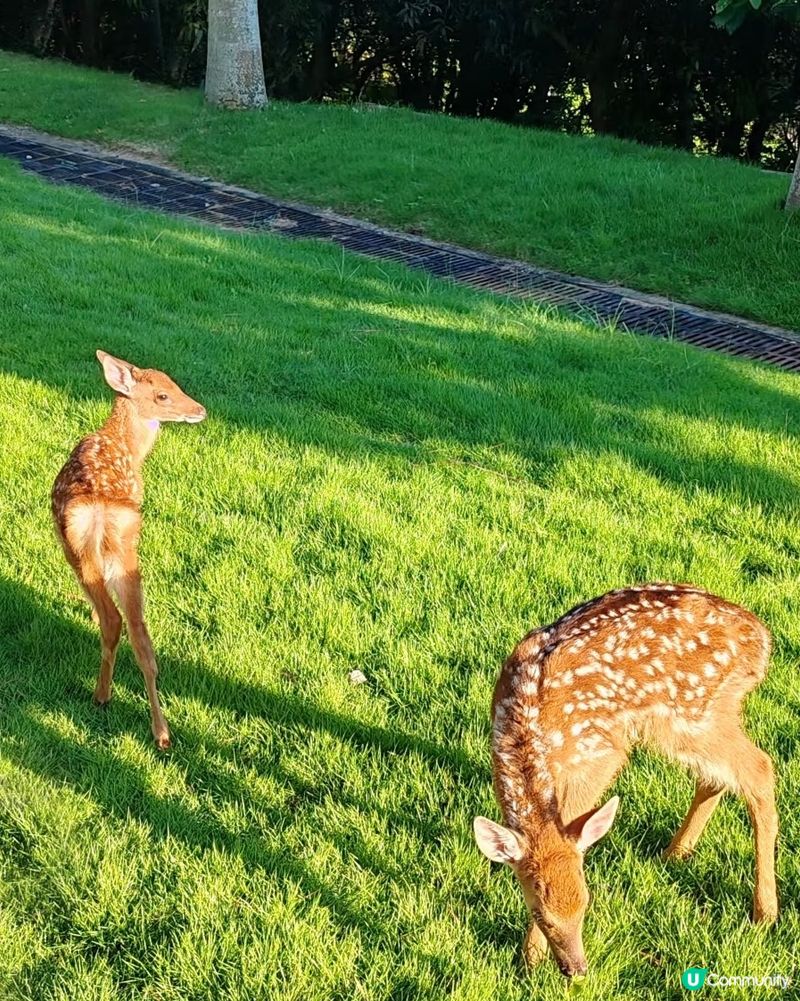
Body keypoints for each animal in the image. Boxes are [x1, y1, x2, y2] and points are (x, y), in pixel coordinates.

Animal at [52, 352, 206, 752]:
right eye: (163, 394)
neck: (126, 446)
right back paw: (161, 733)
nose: (199, 409)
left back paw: (103, 696)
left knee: (115, 620)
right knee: (139, 633)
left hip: (92, 550)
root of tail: (101, 508)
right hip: (122, 555)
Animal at [472, 584, 780, 980]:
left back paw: (765, 912)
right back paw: (673, 854)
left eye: (585, 903)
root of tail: (761, 639)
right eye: (540, 913)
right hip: (696, 719)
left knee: (759, 768)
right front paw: (530, 960)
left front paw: (529, 960)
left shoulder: (600, 754)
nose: (576, 969)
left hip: (692, 713)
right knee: (718, 777)